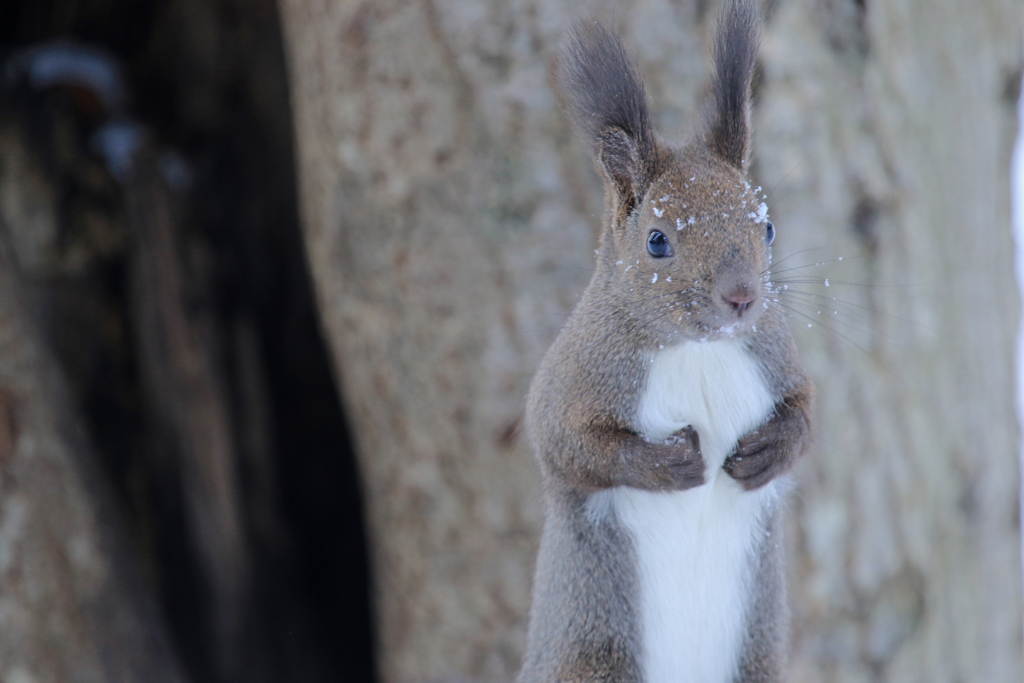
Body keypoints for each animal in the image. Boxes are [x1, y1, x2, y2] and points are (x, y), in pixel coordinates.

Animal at [520, 2, 815, 679]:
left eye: (766, 225)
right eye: (657, 241)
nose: (742, 297)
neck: (698, 349)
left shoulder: (775, 356)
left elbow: (806, 415)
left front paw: (768, 452)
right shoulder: (574, 376)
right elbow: (566, 445)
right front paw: (668, 463)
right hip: (595, 657)